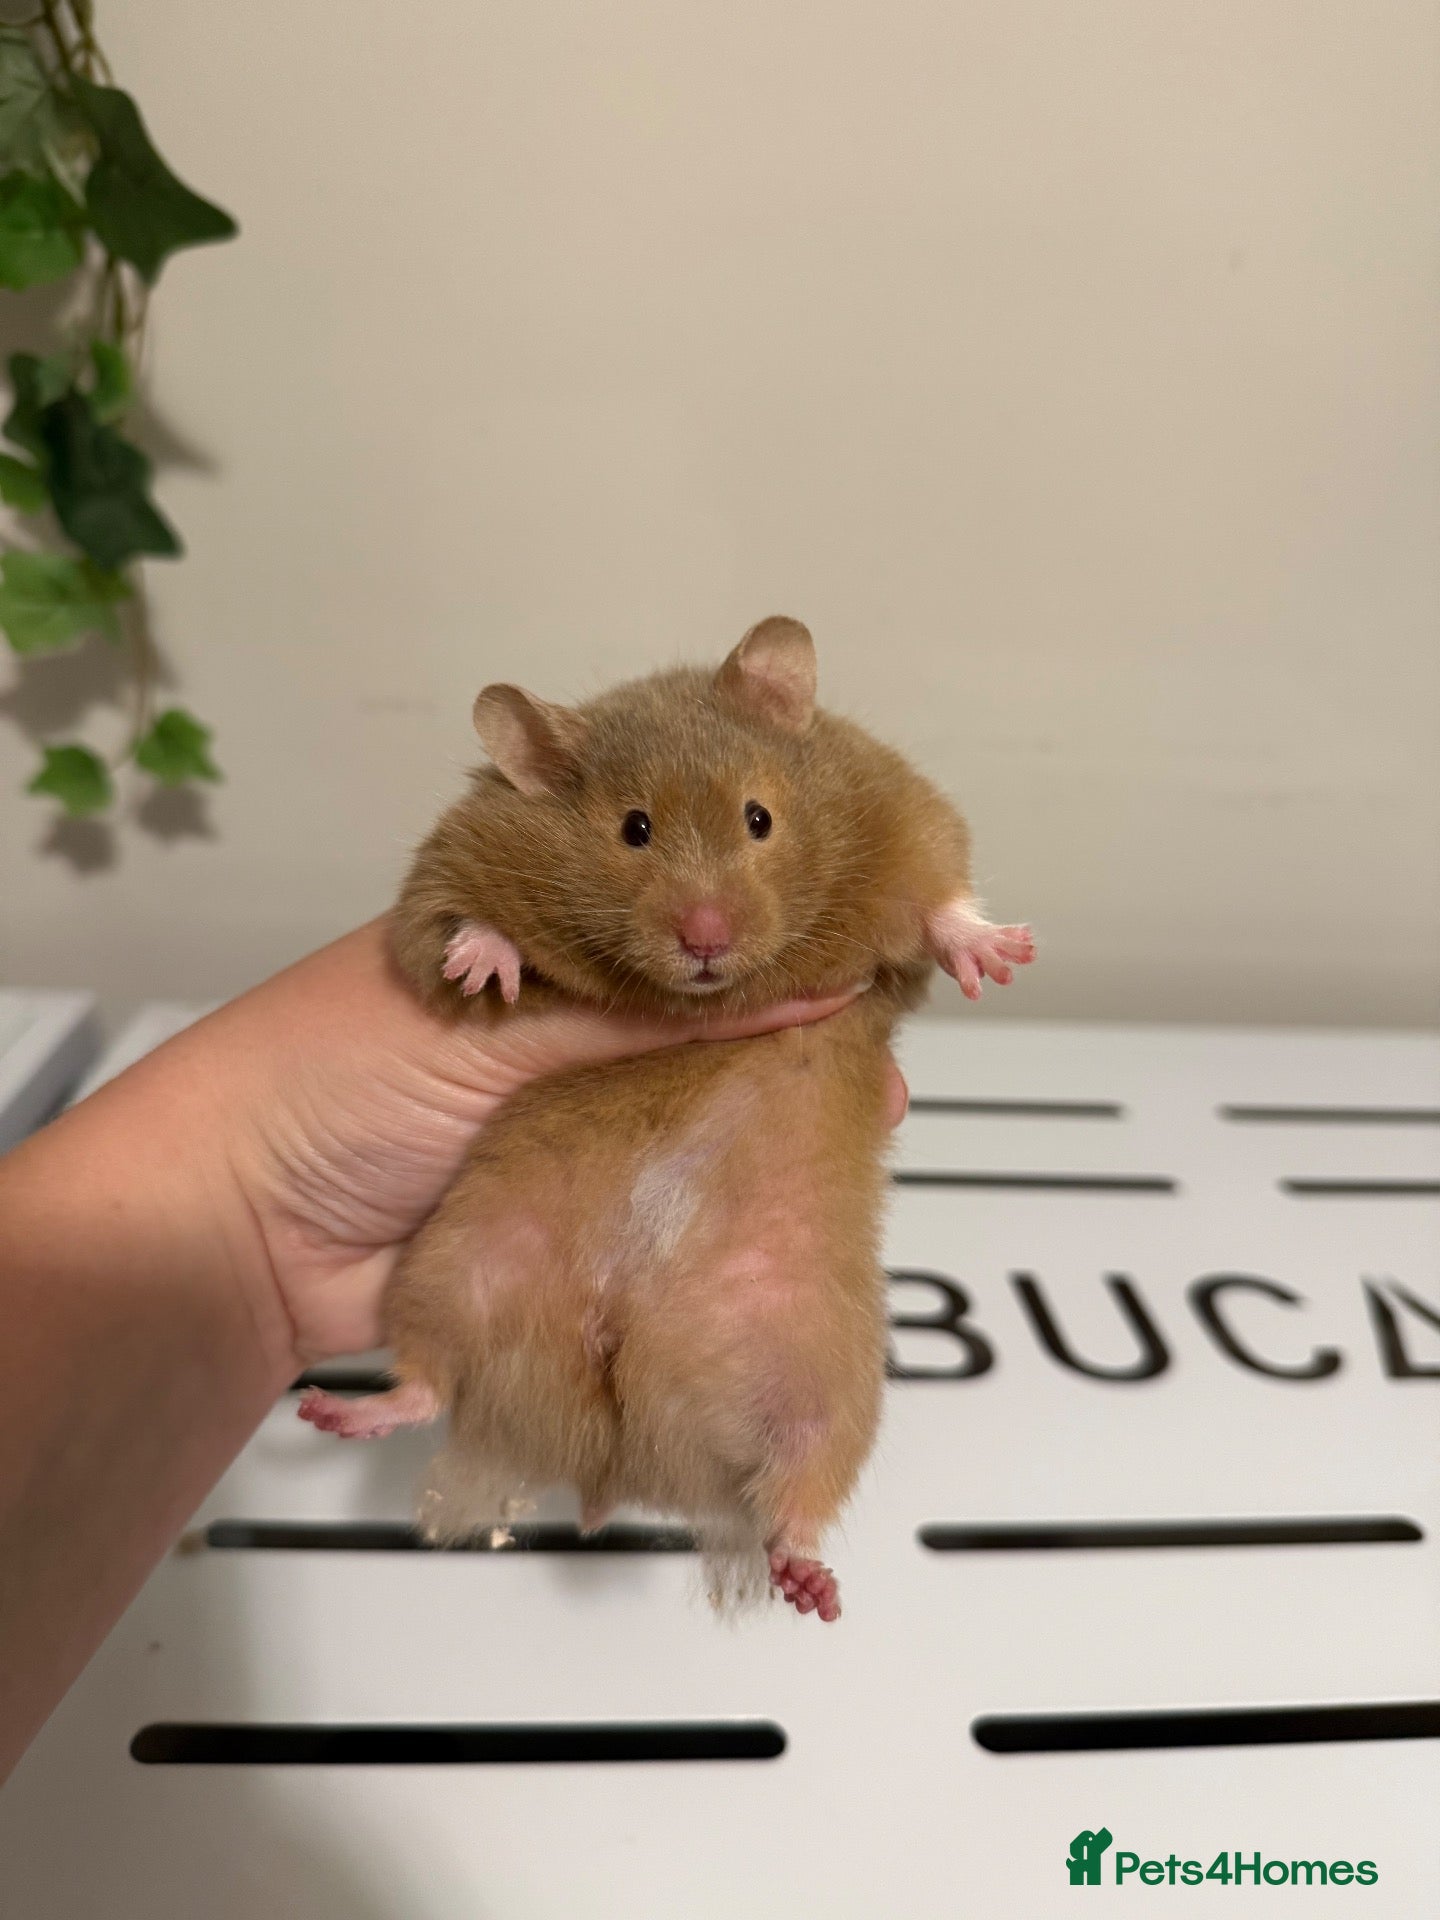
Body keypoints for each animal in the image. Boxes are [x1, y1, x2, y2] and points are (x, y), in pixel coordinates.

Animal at [300, 617, 1033, 1621]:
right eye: (633, 829)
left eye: (760, 818)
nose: (705, 940)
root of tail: (609, 1445)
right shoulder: (449, 868)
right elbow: (449, 929)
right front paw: (487, 969)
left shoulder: (905, 816)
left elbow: (939, 897)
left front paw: (1000, 958)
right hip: (450, 1268)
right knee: (425, 1381)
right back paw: (332, 1413)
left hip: (829, 1371)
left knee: (797, 1487)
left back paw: (810, 1586)